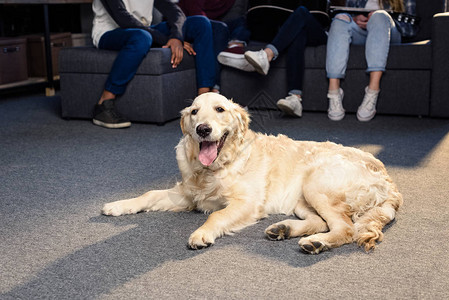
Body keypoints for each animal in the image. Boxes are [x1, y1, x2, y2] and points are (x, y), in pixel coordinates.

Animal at [102, 93, 402, 253]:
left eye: (220, 110)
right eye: (195, 112)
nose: (202, 129)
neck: (216, 166)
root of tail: (389, 182)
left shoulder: (247, 203)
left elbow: (218, 215)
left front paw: (201, 233)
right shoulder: (187, 195)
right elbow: (149, 194)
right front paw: (118, 205)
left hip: (316, 184)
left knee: (345, 228)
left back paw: (315, 243)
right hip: (303, 197)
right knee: (321, 222)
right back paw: (284, 229)